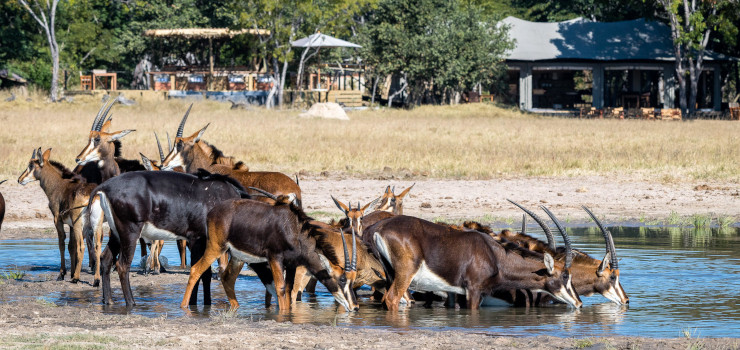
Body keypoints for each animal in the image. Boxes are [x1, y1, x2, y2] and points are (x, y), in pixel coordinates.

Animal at [17, 149, 99, 284]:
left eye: (31, 166)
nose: (19, 179)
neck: (58, 185)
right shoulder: (71, 224)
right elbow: (71, 246)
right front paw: (71, 272)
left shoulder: (57, 220)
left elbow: (61, 244)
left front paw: (62, 274)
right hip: (95, 225)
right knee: (97, 246)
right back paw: (96, 280)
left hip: (80, 225)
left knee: (81, 246)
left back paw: (76, 278)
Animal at [82, 170, 247, 306]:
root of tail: (104, 187)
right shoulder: (197, 239)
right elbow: (199, 272)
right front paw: (193, 304)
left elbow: (205, 274)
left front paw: (206, 304)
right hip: (130, 230)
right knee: (122, 265)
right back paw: (131, 302)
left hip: (116, 233)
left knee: (106, 259)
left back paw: (108, 301)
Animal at [184, 189, 360, 312]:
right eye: (342, 279)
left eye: (353, 280)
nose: (355, 307)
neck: (294, 230)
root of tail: (212, 211)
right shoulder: (275, 258)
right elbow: (280, 288)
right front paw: (282, 314)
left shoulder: (291, 264)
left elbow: (289, 289)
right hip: (216, 247)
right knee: (196, 270)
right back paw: (184, 307)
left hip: (237, 257)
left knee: (227, 278)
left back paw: (236, 307)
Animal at [368, 215, 580, 310]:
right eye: (565, 276)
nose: (578, 303)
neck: (494, 255)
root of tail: (379, 227)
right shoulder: (474, 290)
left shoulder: (455, 292)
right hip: (405, 273)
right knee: (392, 298)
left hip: (391, 274)